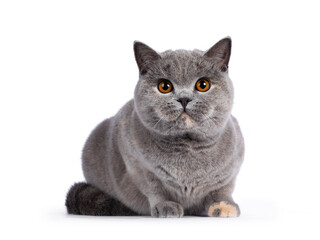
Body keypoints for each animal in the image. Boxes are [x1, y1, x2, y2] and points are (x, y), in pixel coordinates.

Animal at [65, 37, 245, 218]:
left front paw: (224, 206)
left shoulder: (232, 168)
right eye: (164, 86)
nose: (184, 99)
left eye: (203, 85)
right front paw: (166, 206)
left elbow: (221, 189)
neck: (188, 146)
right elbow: (155, 189)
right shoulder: (138, 165)